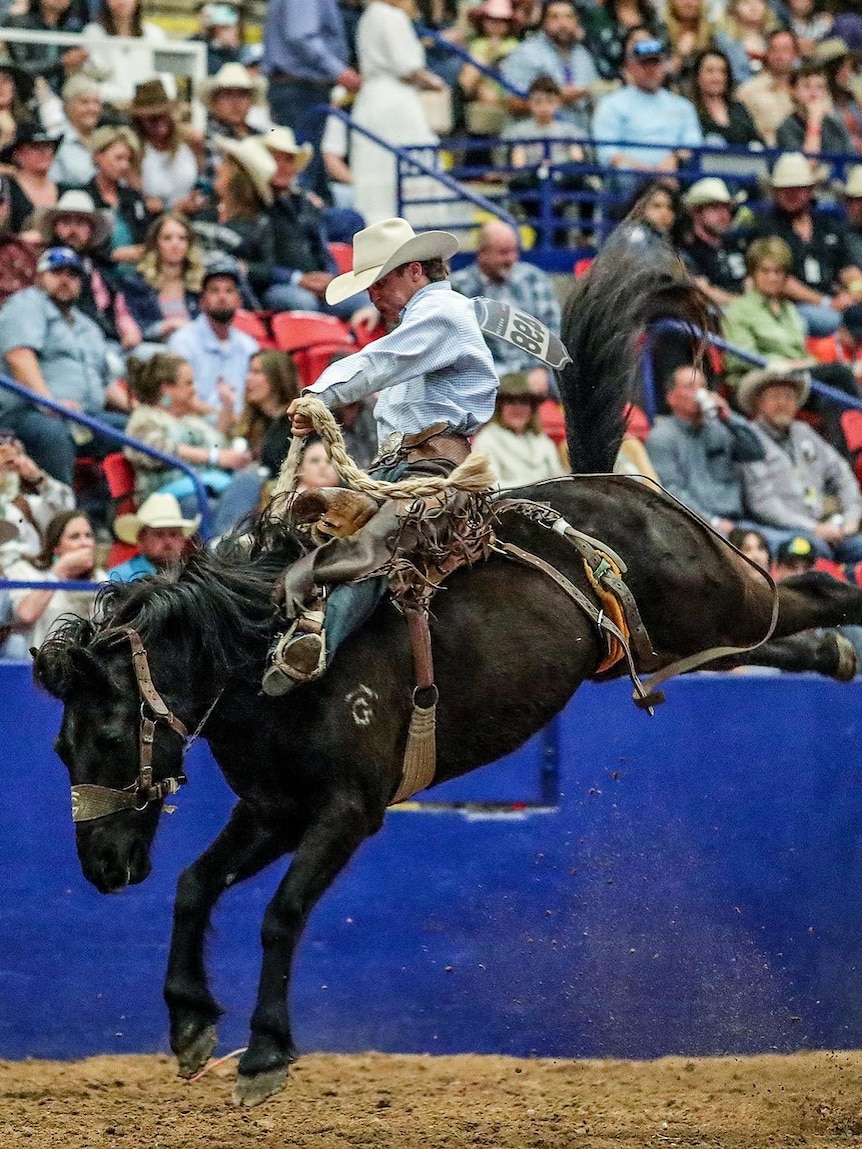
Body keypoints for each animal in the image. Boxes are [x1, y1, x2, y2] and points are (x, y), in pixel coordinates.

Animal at [33, 233, 862, 1103]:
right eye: (61, 747)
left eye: (111, 734)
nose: (102, 866)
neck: (258, 662)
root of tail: (614, 485)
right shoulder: (271, 808)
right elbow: (195, 885)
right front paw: (192, 1022)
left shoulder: (347, 808)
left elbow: (281, 913)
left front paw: (264, 1052)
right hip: (667, 636)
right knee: (770, 630)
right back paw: (835, 655)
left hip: (718, 592)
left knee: (814, 589)